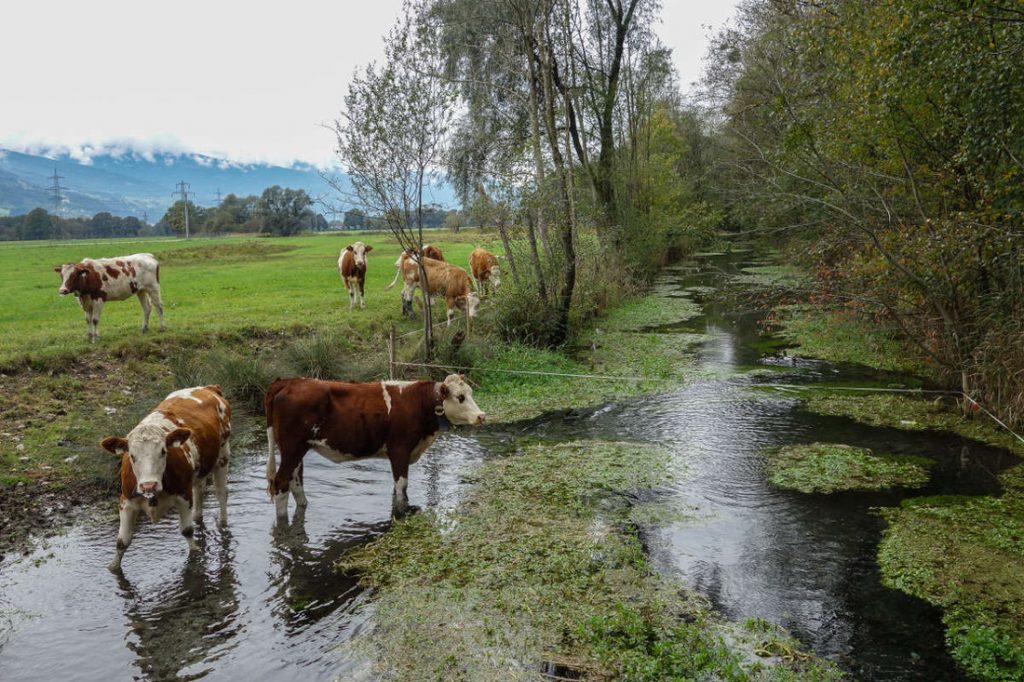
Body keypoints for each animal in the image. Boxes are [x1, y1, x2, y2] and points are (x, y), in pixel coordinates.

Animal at [99, 385, 232, 569]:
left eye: (163, 451)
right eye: (132, 456)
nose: (148, 485)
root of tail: (207, 387)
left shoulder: (183, 496)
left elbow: (187, 531)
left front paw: (195, 557)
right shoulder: (126, 501)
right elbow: (121, 542)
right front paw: (113, 568)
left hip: (223, 455)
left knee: (221, 492)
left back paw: (223, 524)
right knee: (199, 490)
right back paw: (198, 515)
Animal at [264, 372, 487, 516]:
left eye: (471, 393)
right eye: (460, 397)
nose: (481, 416)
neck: (419, 403)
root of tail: (287, 382)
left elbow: (396, 487)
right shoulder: (399, 449)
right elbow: (402, 486)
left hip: (297, 449)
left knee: (295, 481)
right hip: (292, 447)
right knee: (281, 483)